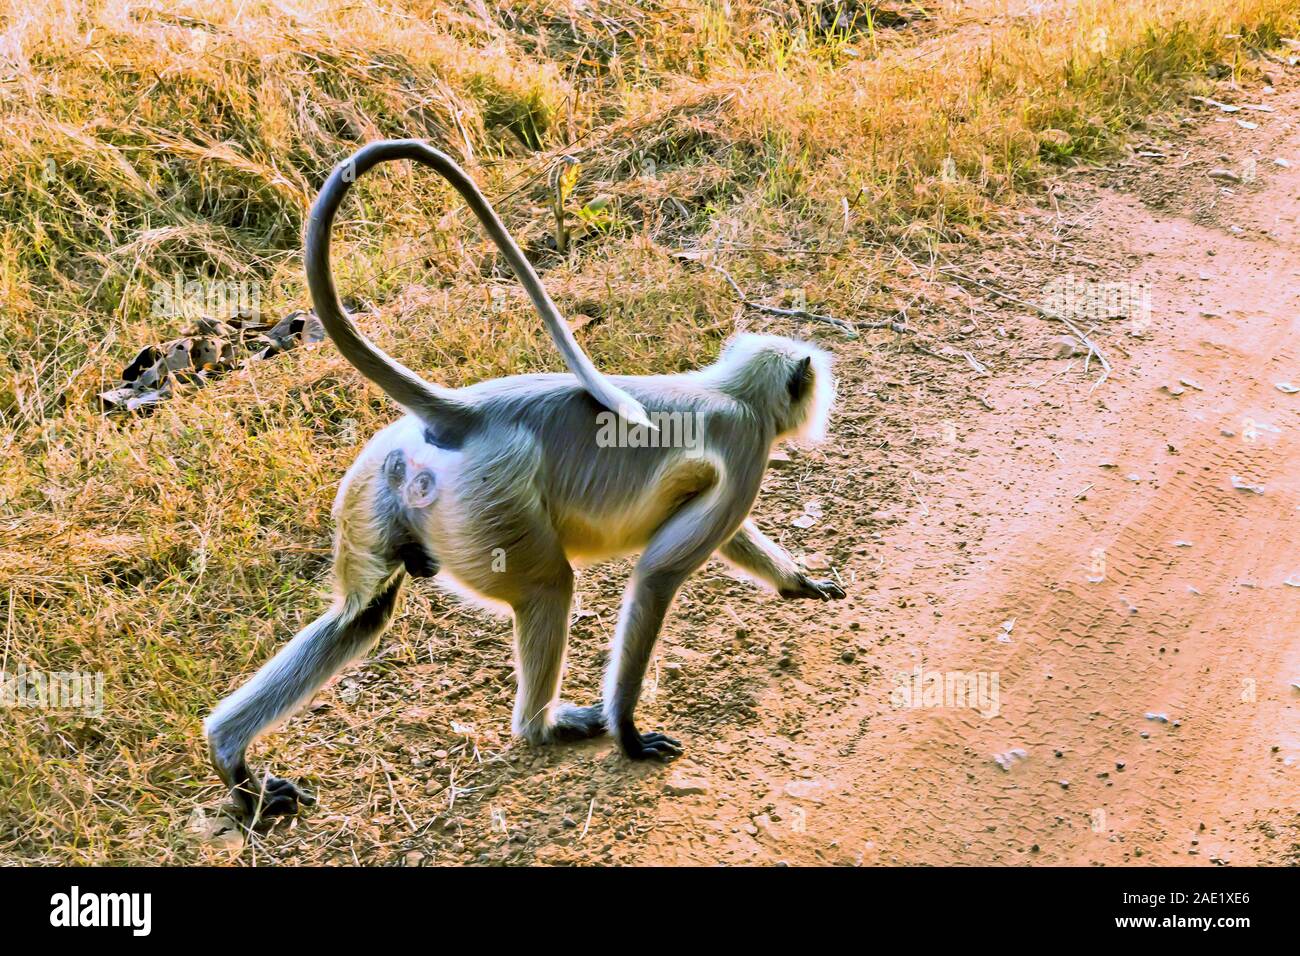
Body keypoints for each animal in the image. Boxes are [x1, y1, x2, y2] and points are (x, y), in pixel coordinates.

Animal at [205, 138, 842, 816]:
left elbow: (731, 537)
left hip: (377, 483)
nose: (819, 404)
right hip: (491, 503)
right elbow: (657, 574)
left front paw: (799, 581)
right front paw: (628, 733)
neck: (728, 391)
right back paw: (545, 726)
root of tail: (464, 414)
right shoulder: (747, 446)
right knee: (548, 588)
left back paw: (232, 761)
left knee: (361, 614)